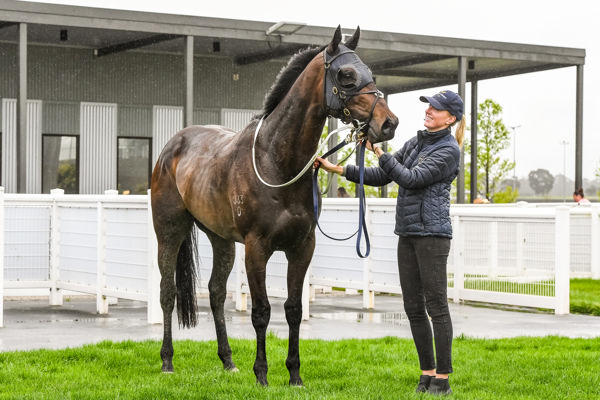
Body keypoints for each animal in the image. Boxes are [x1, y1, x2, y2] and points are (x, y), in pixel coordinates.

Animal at [150, 25, 398, 388]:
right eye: (347, 75)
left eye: (371, 72)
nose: (389, 123)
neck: (276, 161)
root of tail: (173, 146)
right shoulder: (257, 248)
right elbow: (262, 311)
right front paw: (262, 375)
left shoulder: (302, 247)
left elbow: (293, 309)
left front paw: (294, 375)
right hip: (170, 231)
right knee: (167, 291)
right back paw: (167, 361)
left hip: (221, 239)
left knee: (216, 293)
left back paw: (228, 362)